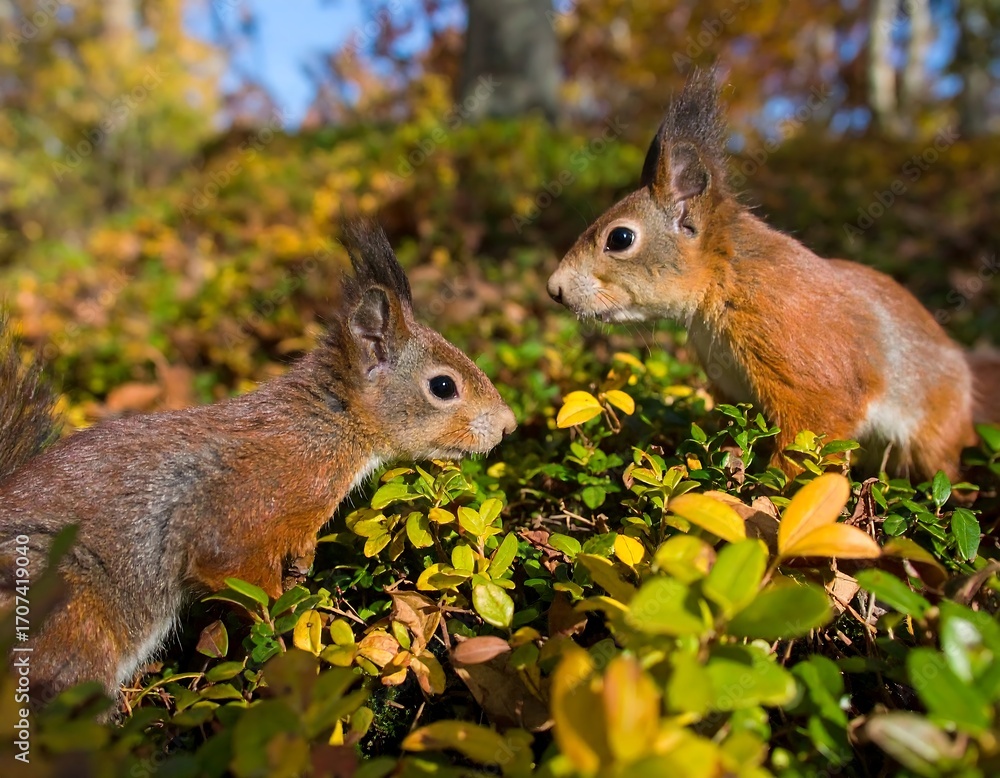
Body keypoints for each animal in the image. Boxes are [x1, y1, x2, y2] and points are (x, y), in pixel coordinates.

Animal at [0, 222, 516, 707]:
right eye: (443, 386)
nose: (509, 425)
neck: (326, 427)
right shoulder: (245, 510)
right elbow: (245, 581)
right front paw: (288, 636)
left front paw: (304, 563)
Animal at [547, 69, 998, 482]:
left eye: (620, 238)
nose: (554, 289)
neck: (725, 282)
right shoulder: (731, 388)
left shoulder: (800, 356)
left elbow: (811, 437)